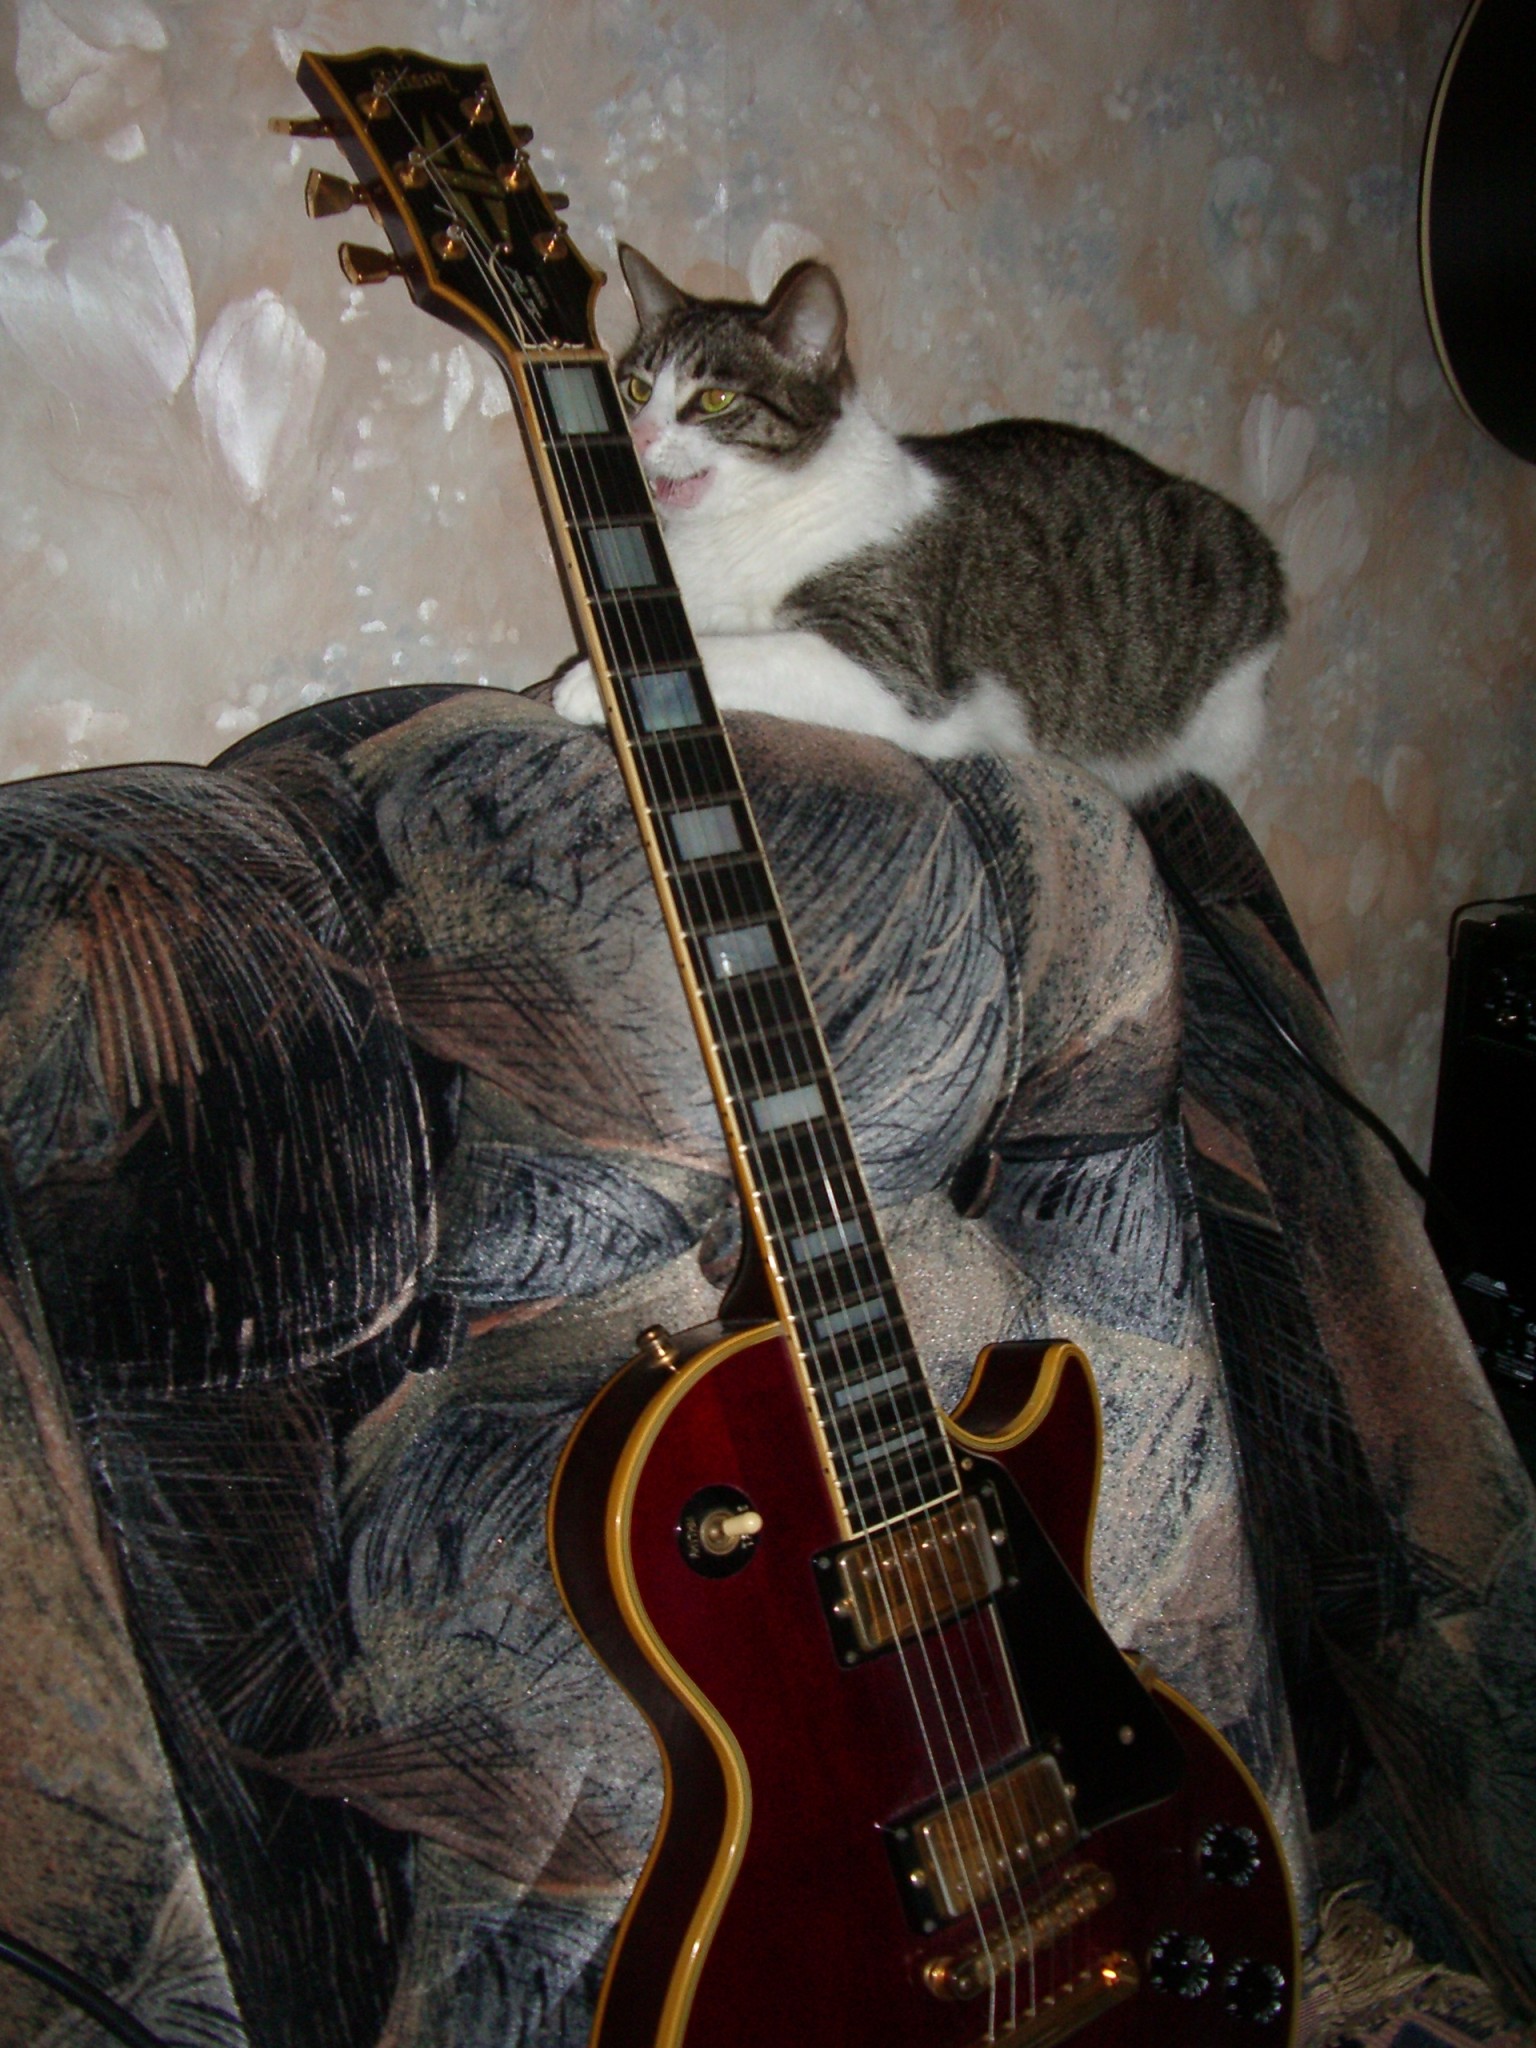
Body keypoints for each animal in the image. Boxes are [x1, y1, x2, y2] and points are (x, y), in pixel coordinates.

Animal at [551, 245, 1287, 802]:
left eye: (715, 399)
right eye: (636, 388)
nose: (637, 436)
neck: (742, 525)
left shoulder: (894, 669)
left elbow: (742, 652)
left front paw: (590, 683)